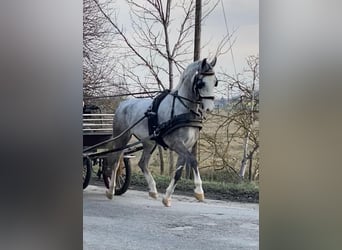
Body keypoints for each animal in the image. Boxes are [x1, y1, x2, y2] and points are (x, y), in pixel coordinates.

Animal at [105, 57, 216, 207]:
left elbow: (178, 173)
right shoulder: (176, 143)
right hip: (122, 137)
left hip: (149, 142)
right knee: (116, 162)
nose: (209, 109)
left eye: (215, 82)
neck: (183, 110)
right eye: (201, 83)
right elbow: (193, 160)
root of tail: (123, 104)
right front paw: (199, 191)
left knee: (142, 163)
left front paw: (167, 197)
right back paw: (111, 190)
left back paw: (152, 189)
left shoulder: (185, 146)